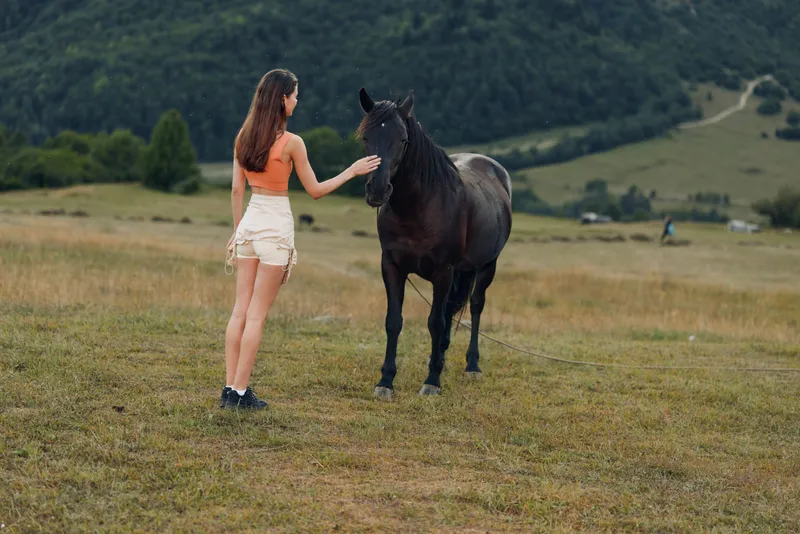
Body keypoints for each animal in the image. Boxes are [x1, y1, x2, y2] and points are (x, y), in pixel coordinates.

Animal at [356, 87, 513, 398]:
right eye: (366, 137)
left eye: (403, 140)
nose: (377, 190)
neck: (419, 207)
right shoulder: (391, 266)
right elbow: (394, 321)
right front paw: (385, 381)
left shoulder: (443, 271)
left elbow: (435, 322)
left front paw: (432, 381)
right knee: (452, 309)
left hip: (487, 266)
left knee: (475, 306)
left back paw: (471, 366)